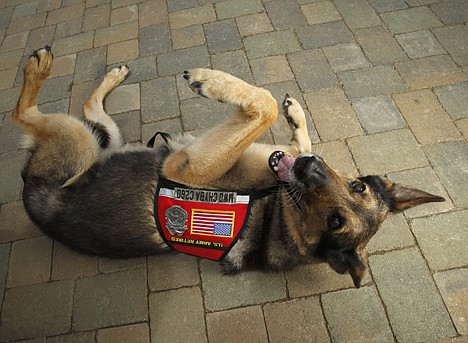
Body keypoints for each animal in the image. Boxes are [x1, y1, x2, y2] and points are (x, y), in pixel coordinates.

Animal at [14, 45, 444, 288]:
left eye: (335, 222)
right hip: (104, 137)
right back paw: (107, 75)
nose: (309, 169)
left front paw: (210, 81)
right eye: (358, 186)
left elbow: (264, 104)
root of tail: (28, 196)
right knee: (88, 108)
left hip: (78, 141)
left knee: (25, 114)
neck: (277, 205)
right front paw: (296, 117)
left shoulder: (184, 166)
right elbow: (283, 124)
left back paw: (39, 68)